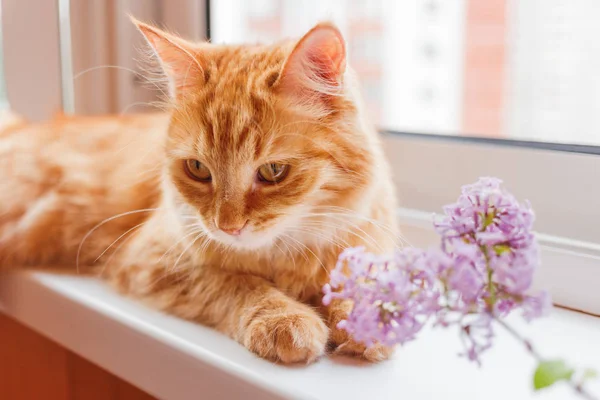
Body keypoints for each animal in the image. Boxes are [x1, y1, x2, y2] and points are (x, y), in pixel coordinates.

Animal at [2, 18, 400, 362]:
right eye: (197, 169)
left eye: (273, 171)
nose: (227, 227)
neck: (284, 254)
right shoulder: (154, 260)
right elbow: (239, 284)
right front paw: (284, 318)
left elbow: (359, 283)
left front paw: (370, 320)